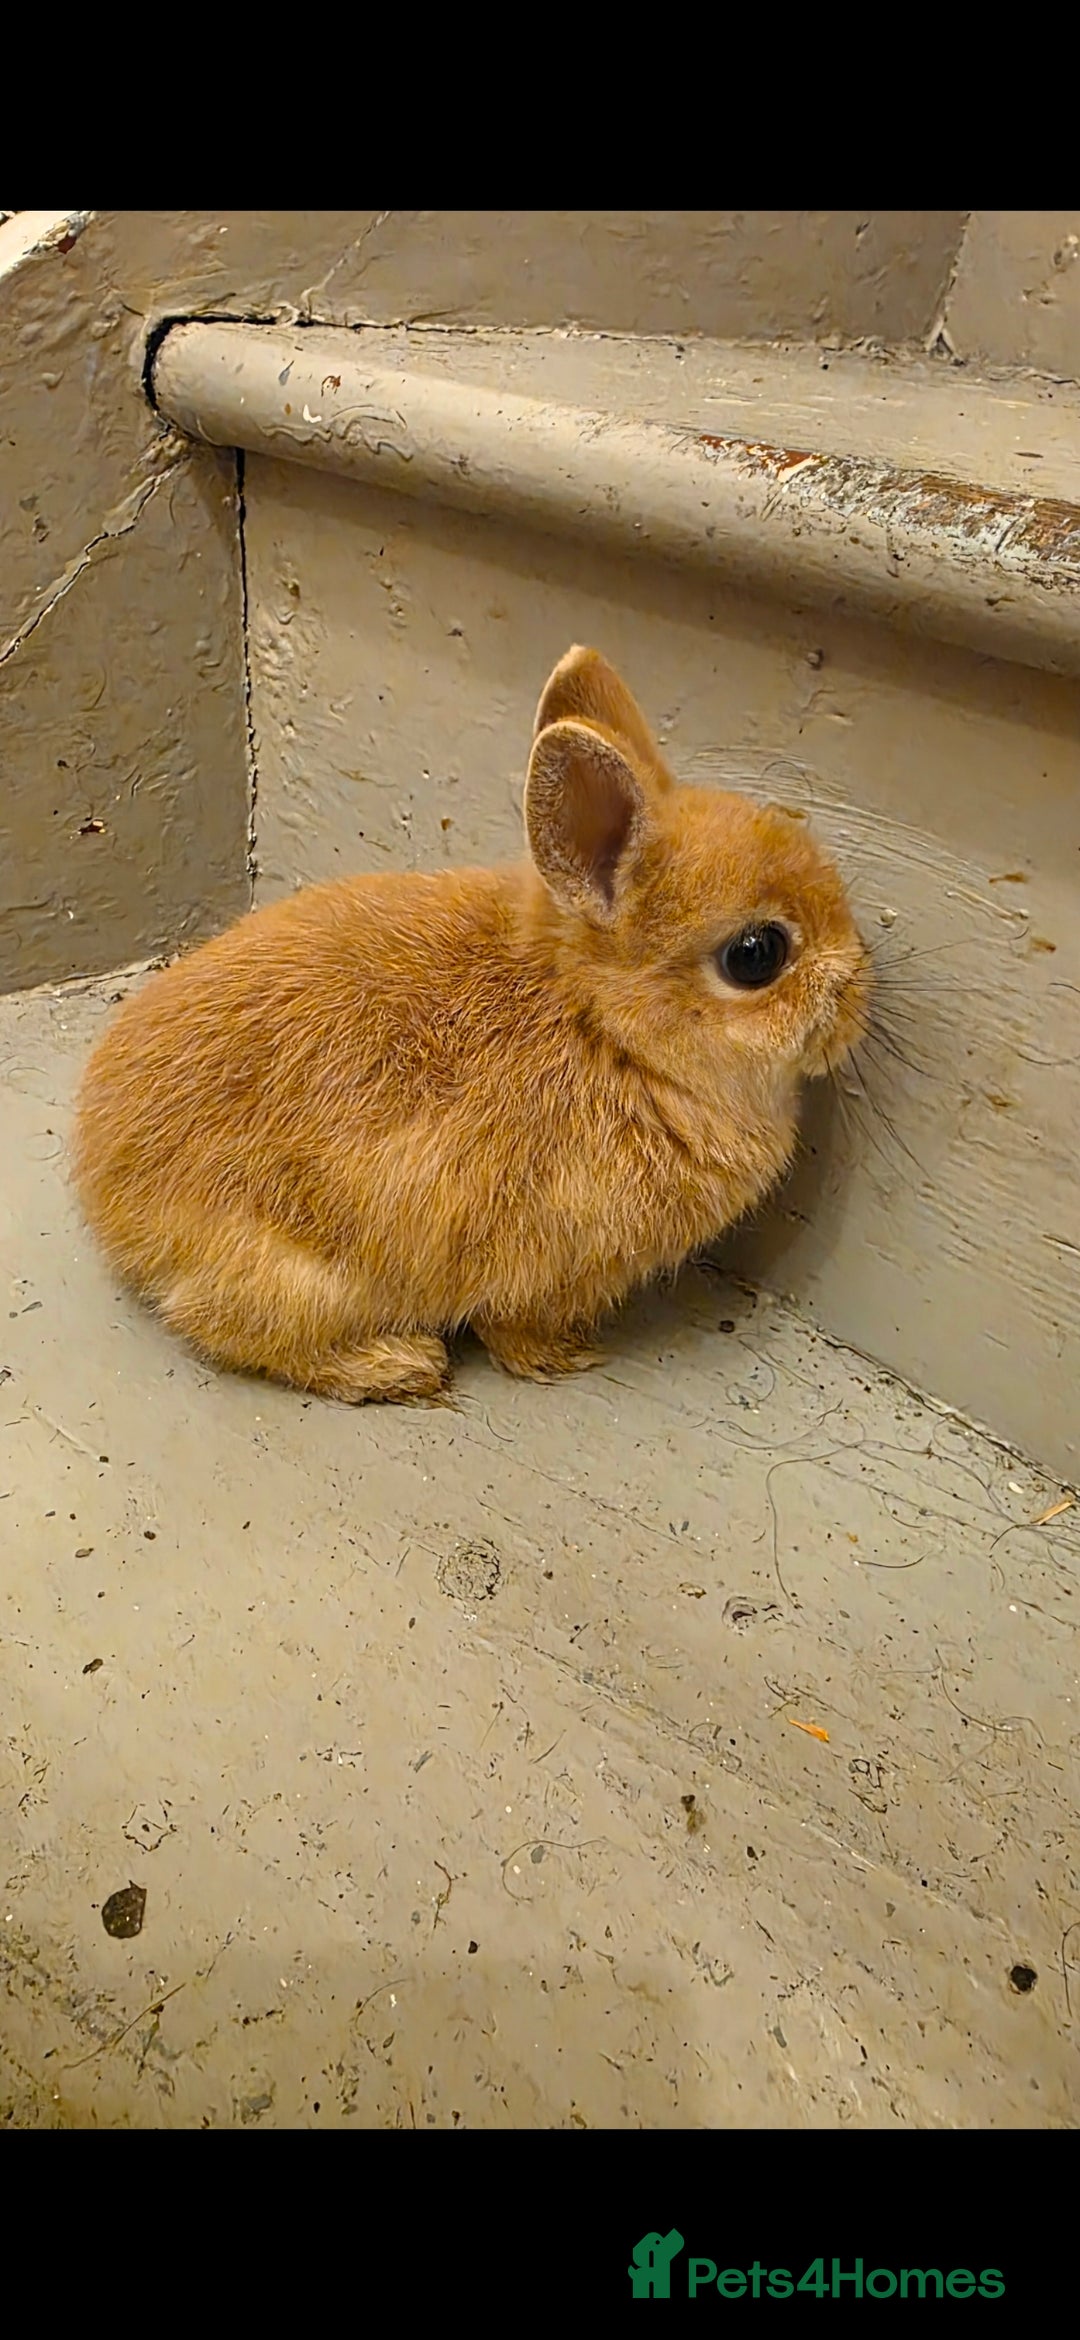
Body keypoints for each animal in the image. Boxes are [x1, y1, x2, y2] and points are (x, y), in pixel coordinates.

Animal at [72, 646, 870, 1404]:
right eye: (756, 955)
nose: (858, 996)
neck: (607, 1030)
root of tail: (108, 1192)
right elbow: (512, 1326)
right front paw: (563, 1357)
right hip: (299, 1275)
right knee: (225, 1324)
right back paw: (396, 1365)